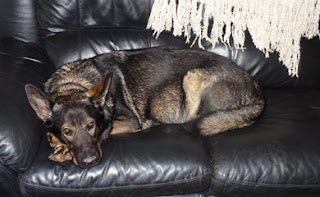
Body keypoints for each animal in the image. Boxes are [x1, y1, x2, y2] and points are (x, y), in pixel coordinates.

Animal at [24, 47, 264, 167]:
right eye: (67, 131)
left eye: (91, 125)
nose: (90, 161)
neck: (74, 83)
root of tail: (257, 89)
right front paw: (57, 141)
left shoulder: (128, 120)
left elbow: (106, 131)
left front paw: (64, 150)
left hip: (192, 77)